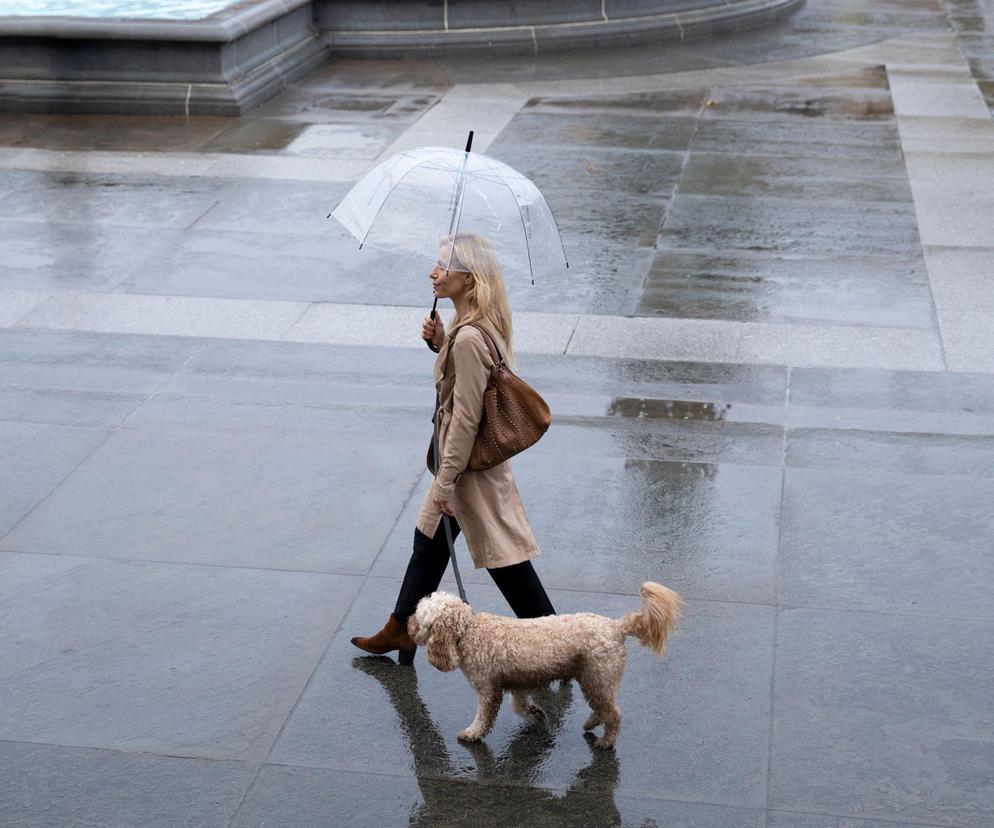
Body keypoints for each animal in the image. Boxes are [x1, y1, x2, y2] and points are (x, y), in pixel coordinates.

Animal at [406, 584, 680, 752]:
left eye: (420, 617)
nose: (408, 624)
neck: (468, 631)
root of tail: (616, 626)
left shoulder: (487, 690)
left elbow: (483, 717)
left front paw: (472, 734)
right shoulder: (516, 683)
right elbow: (520, 706)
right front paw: (536, 713)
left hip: (598, 677)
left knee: (613, 714)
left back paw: (605, 740)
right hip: (593, 679)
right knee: (604, 709)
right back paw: (591, 723)